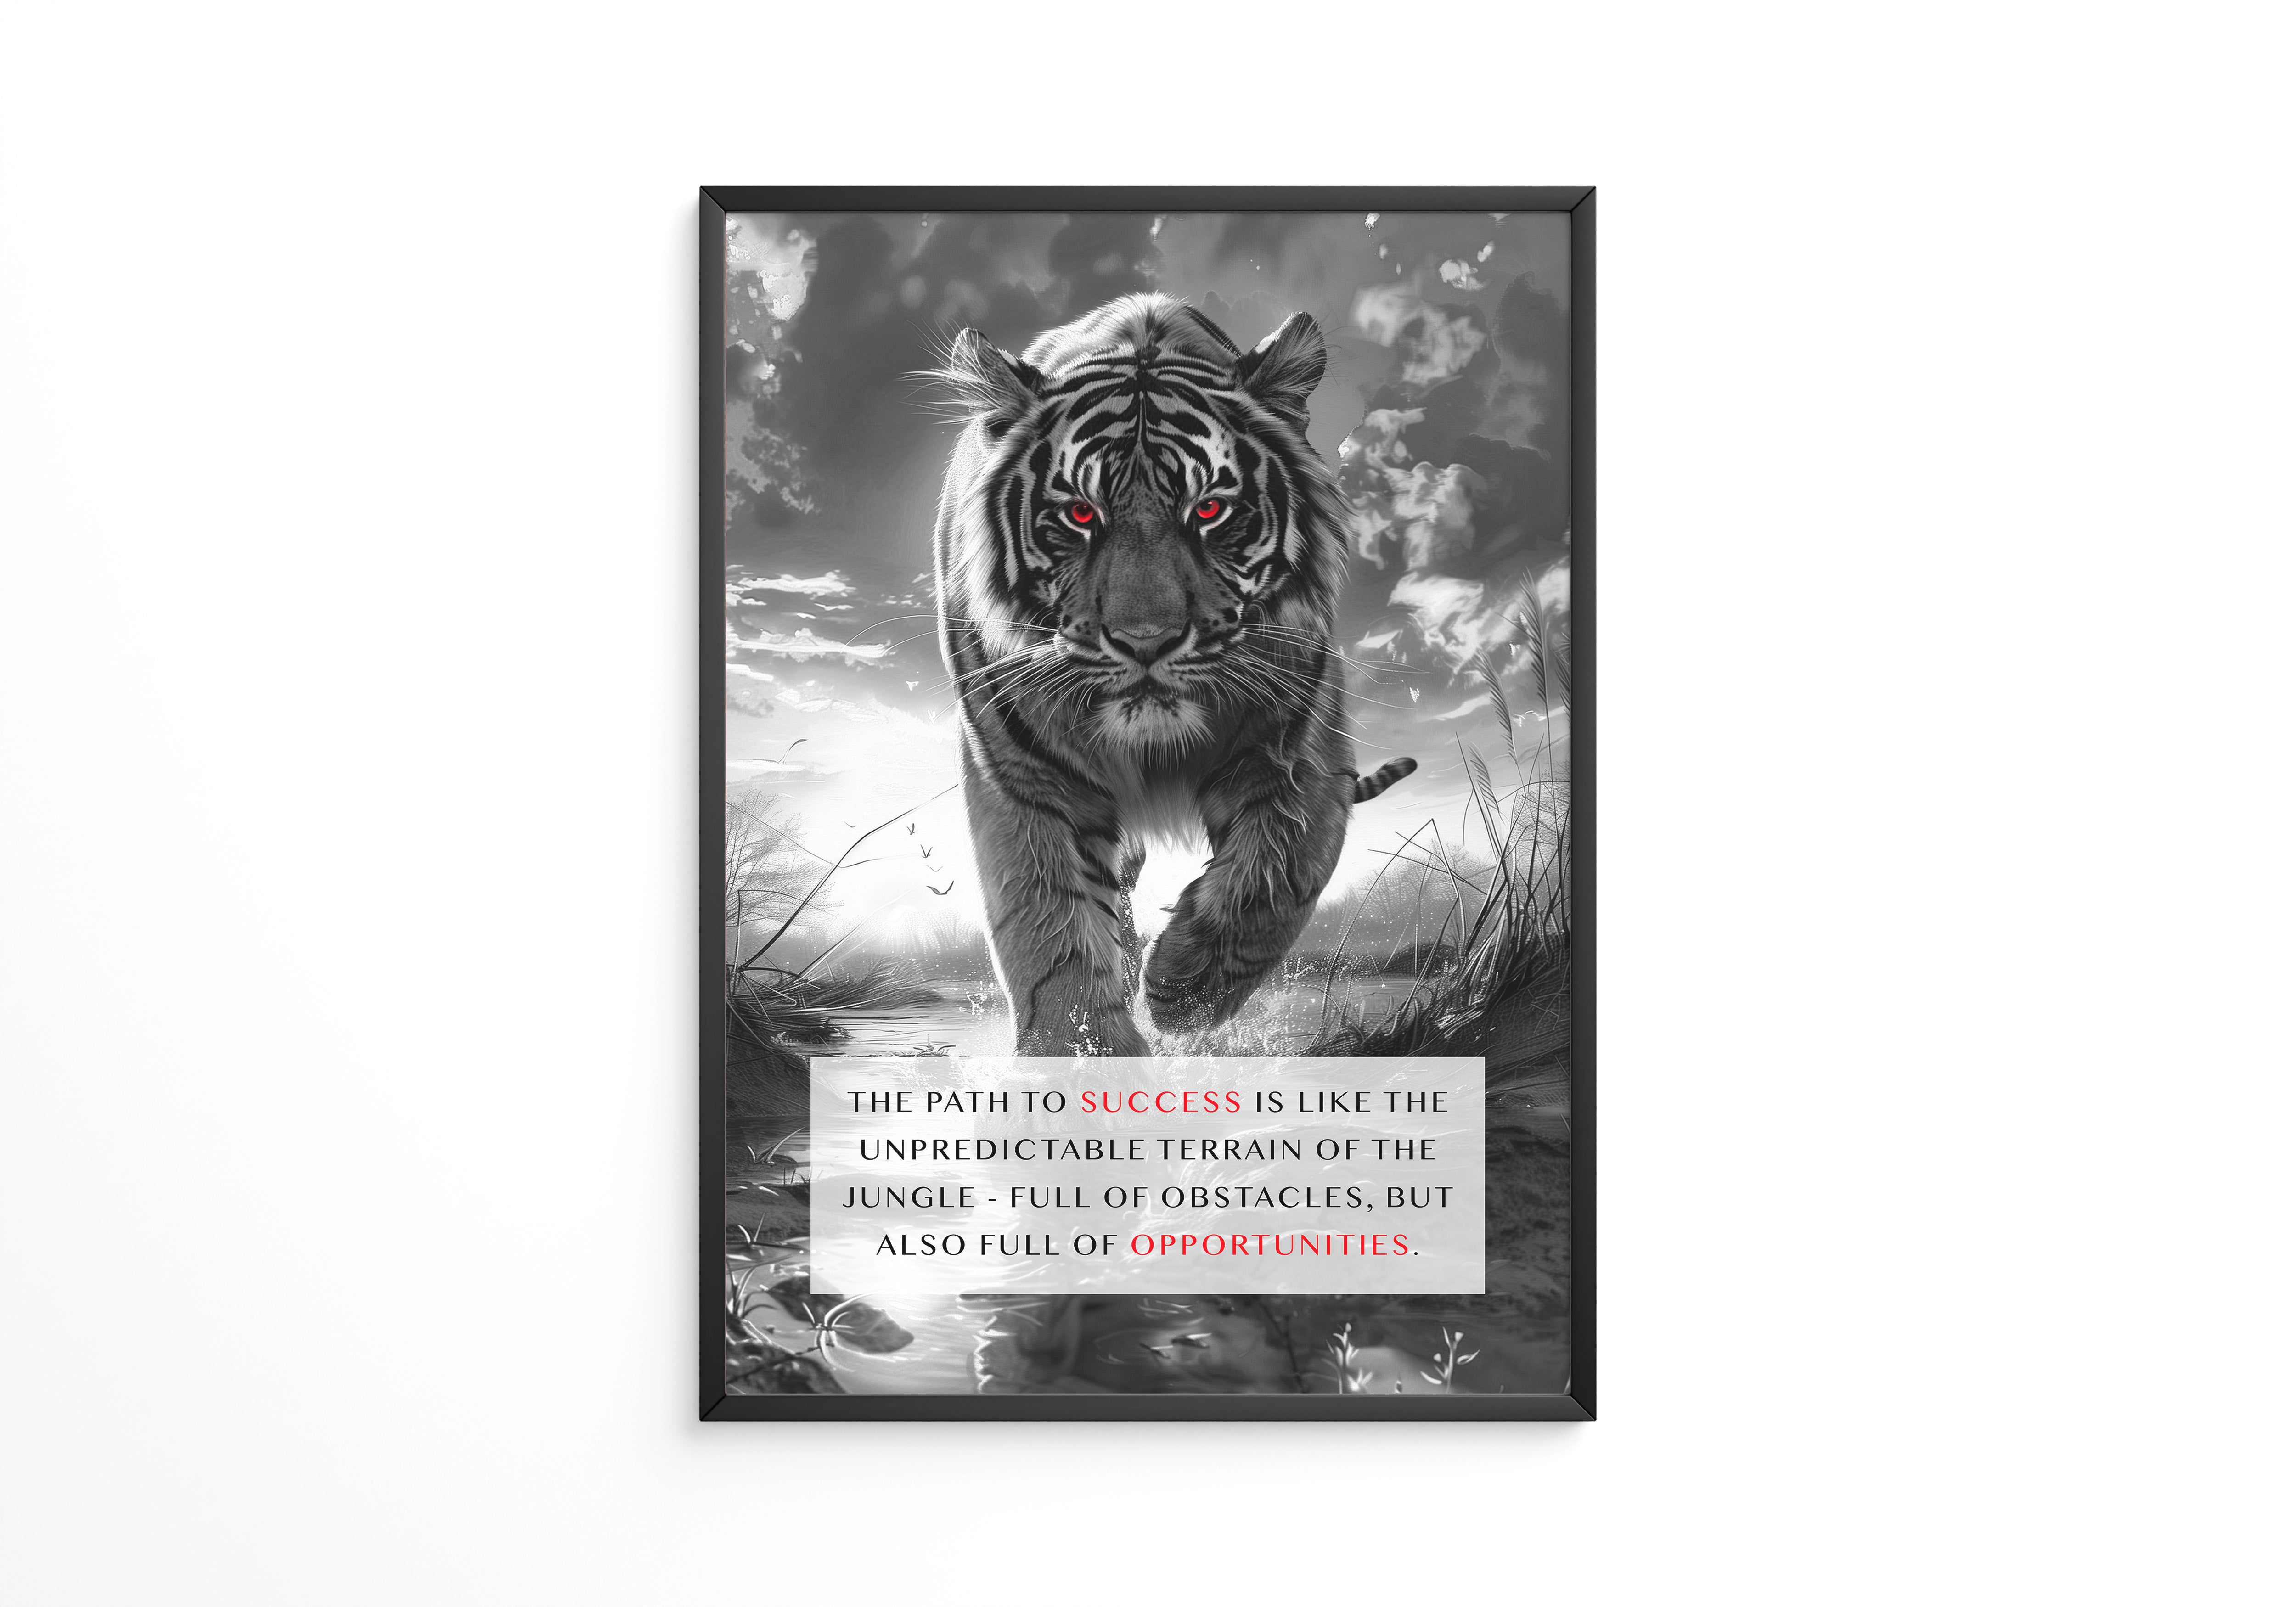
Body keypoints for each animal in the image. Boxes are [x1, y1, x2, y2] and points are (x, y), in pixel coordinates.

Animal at [933, 293, 1415, 1057]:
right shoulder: (1020, 774)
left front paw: (1183, 992)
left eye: (1209, 510)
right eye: (1080, 514)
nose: (1146, 642)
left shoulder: (1301, 754)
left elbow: (1281, 875)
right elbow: (1047, 931)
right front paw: (1081, 1055)